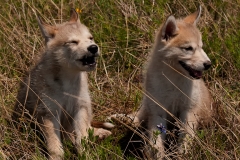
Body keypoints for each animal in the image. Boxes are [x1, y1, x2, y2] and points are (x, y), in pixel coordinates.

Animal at [12, 9, 113, 159]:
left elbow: (82, 139)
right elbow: (55, 146)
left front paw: (85, 155)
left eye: (91, 38)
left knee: (87, 129)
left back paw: (100, 133)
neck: (68, 82)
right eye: (73, 42)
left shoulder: (80, 108)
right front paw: (56, 157)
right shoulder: (49, 112)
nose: (94, 48)